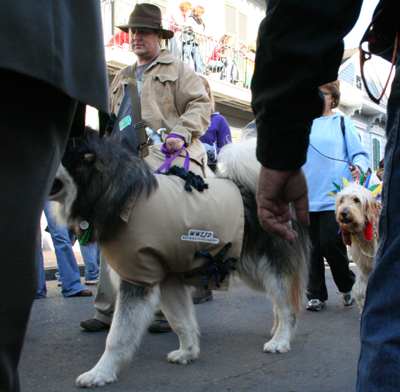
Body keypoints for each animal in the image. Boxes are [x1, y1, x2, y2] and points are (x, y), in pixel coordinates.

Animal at [48, 130, 310, 388]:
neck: (124, 198)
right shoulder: (165, 278)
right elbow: (179, 321)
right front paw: (188, 352)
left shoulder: (137, 279)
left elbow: (117, 336)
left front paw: (101, 373)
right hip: (252, 268)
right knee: (281, 299)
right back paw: (276, 330)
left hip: (269, 266)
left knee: (289, 305)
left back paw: (281, 339)